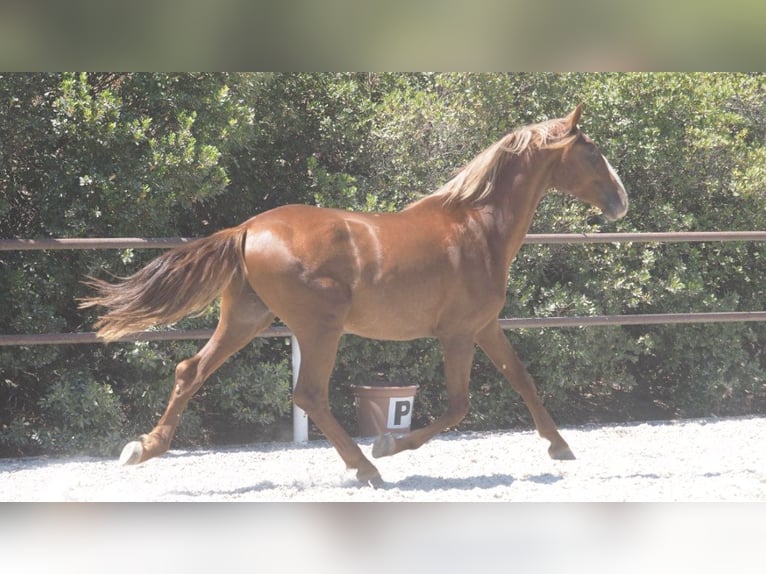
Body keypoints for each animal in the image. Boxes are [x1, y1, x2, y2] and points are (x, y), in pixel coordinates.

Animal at [81, 103, 628, 486]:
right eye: (591, 152)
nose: (621, 201)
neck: (477, 225)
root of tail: (248, 228)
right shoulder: (456, 334)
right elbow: (458, 406)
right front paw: (387, 446)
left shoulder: (485, 326)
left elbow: (523, 380)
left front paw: (560, 446)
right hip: (319, 326)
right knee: (309, 394)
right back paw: (367, 467)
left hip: (246, 318)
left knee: (190, 371)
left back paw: (143, 448)